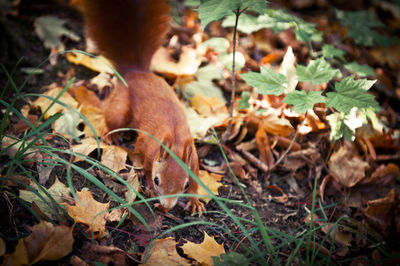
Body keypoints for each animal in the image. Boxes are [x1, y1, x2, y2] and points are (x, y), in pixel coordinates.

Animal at [81, 0, 206, 213]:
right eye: (157, 180)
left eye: (185, 185)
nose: (167, 206)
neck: (176, 142)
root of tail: (136, 72)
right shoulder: (147, 147)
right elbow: (146, 166)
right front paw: (147, 185)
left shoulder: (193, 159)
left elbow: (197, 176)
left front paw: (195, 201)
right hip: (120, 108)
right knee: (111, 118)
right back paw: (112, 135)